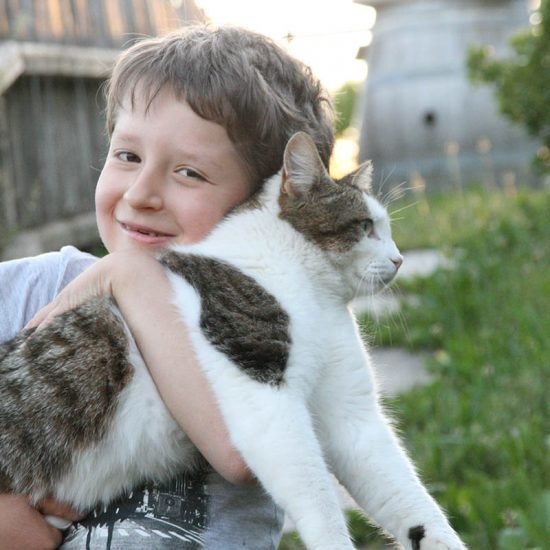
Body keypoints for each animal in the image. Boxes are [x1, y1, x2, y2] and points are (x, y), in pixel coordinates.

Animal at [0, 132, 466, 548]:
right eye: (366, 226)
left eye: (385, 229)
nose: (398, 259)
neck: (315, 291)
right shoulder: (263, 393)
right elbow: (317, 498)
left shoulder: (353, 414)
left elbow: (405, 494)